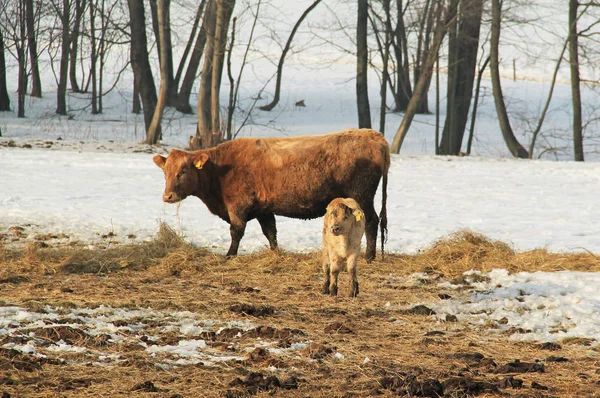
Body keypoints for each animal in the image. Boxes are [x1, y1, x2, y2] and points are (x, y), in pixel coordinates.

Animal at [152, 128, 392, 258]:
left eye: (183, 171)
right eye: (165, 171)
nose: (167, 196)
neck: (220, 169)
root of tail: (374, 136)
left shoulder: (238, 207)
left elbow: (236, 232)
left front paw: (230, 255)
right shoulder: (263, 210)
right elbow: (271, 233)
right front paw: (275, 253)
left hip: (362, 195)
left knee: (371, 221)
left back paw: (369, 256)